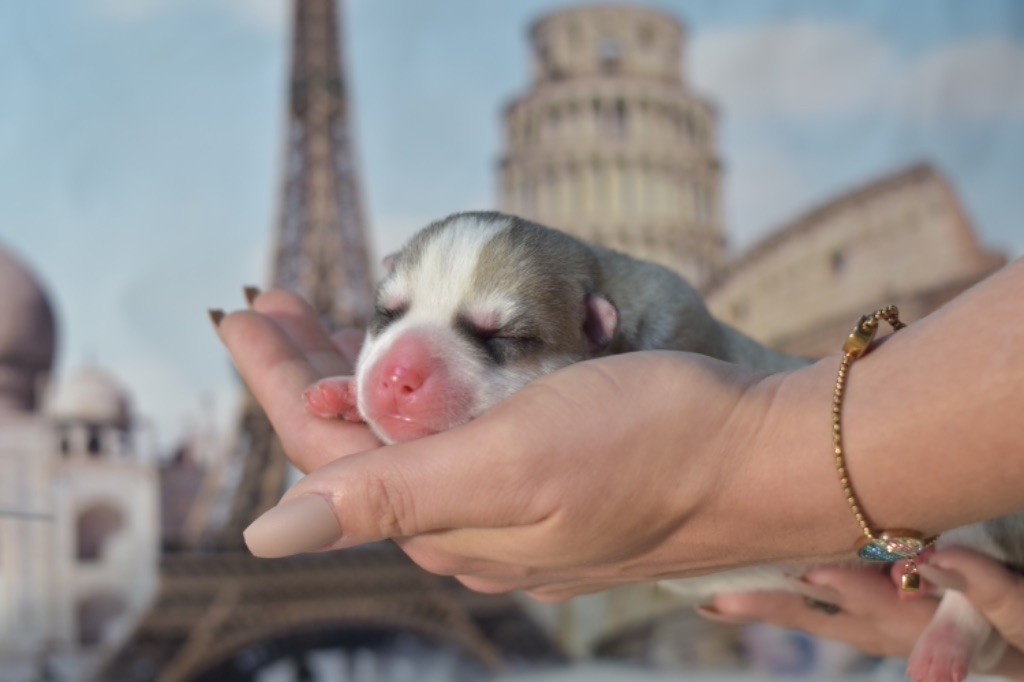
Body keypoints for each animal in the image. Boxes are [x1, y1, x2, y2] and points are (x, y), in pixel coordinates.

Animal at [305, 209, 1024, 675]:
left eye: (501, 335)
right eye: (386, 314)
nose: (395, 377)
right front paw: (340, 390)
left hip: (974, 529)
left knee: (973, 594)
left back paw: (942, 648)